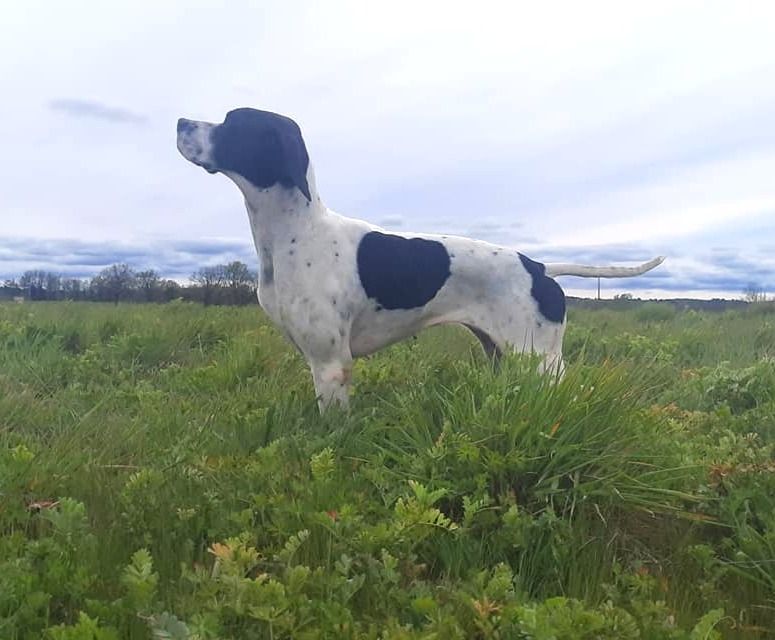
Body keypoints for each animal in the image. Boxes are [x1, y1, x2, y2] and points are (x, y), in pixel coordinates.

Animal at [176, 108, 664, 411]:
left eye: (232, 122)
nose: (180, 121)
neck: (296, 231)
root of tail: (538, 268)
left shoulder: (331, 365)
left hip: (540, 359)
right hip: (503, 355)